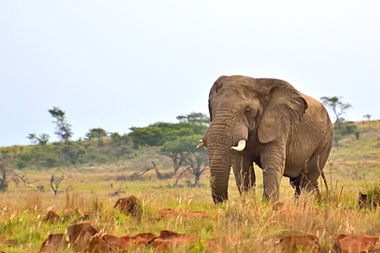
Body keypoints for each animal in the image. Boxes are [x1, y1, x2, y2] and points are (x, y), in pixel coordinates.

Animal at [199, 75, 332, 204]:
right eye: (212, 108)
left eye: (247, 111)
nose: (224, 203)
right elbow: (242, 167)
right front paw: (248, 203)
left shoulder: (279, 125)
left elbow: (272, 162)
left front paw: (268, 204)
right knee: (298, 182)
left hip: (325, 140)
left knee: (306, 180)